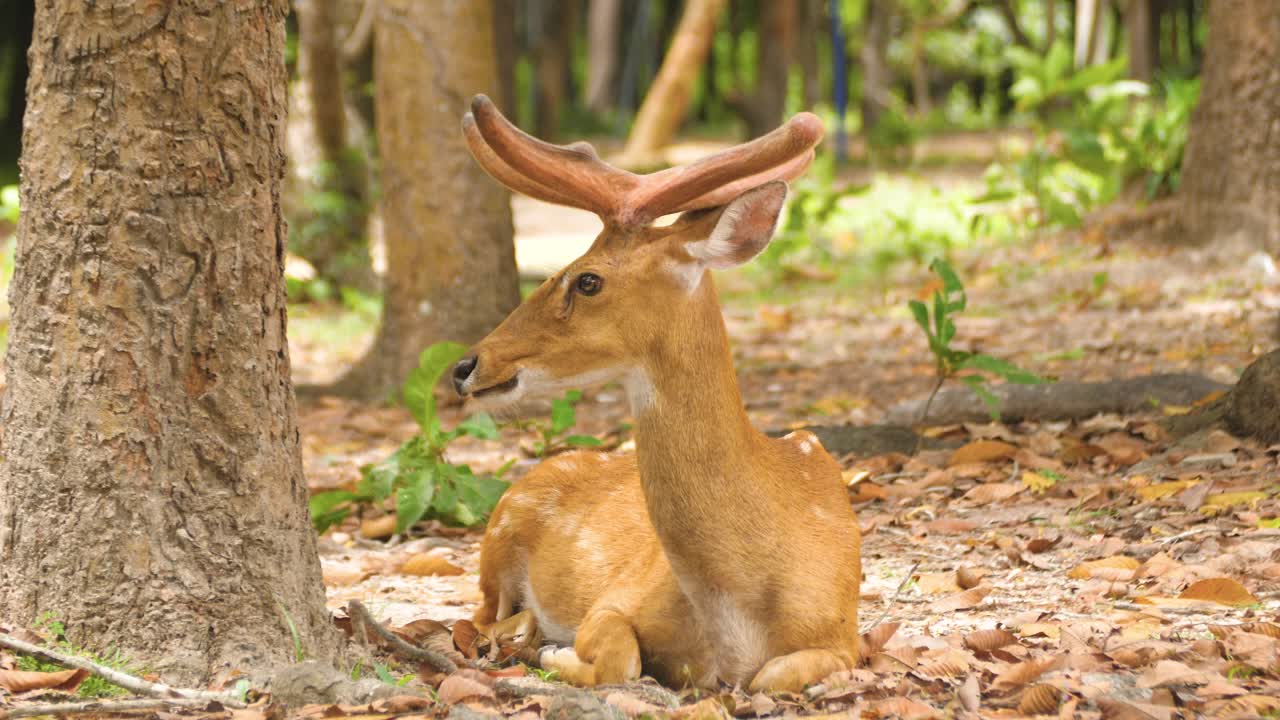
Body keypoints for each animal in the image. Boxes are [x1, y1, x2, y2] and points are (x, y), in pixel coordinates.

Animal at [452, 95, 861, 693]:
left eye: (588, 280)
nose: (465, 366)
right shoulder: (616, 598)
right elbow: (622, 659)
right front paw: (557, 652)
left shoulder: (845, 634)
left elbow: (773, 674)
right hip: (497, 537)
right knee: (476, 617)